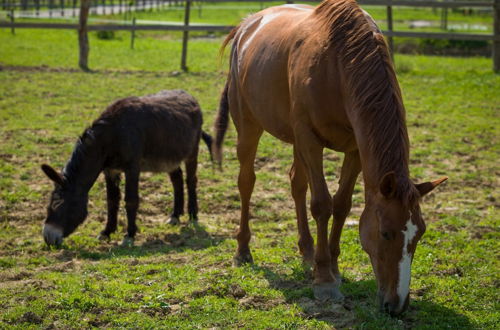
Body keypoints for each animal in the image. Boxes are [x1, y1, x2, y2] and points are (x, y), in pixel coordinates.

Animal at [42, 90, 212, 248]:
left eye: (57, 203)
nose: (48, 239)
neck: (111, 135)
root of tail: (187, 94)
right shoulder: (110, 170)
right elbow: (111, 200)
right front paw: (107, 232)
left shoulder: (132, 167)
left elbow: (130, 200)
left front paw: (129, 235)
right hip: (169, 157)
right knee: (177, 179)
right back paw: (175, 215)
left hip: (192, 151)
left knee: (191, 180)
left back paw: (193, 216)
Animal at [213, 0, 448, 314]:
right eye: (386, 233)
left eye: (420, 233)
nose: (397, 305)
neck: (338, 66)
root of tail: (247, 25)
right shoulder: (311, 141)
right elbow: (322, 204)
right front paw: (324, 279)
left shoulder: (354, 149)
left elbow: (342, 205)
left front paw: (333, 267)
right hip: (249, 127)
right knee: (247, 182)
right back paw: (243, 249)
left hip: (294, 139)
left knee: (296, 183)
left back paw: (307, 250)